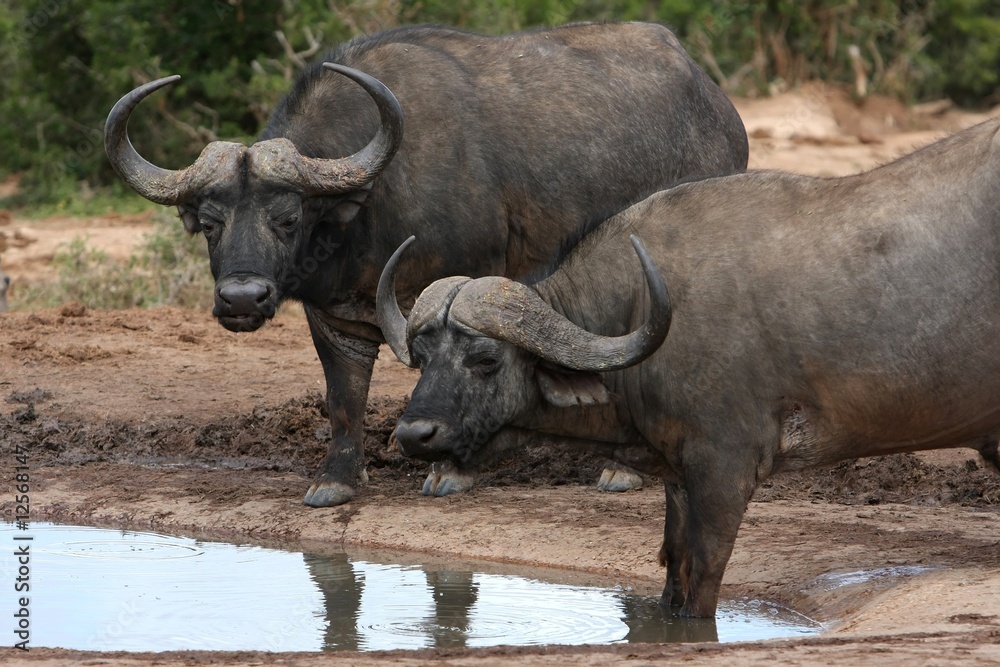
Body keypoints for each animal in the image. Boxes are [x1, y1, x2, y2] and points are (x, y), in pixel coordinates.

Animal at [105, 22, 749, 507]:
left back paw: (624, 470)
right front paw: (336, 479)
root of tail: (718, 103)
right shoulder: (331, 313)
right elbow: (343, 398)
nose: (241, 298)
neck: (369, 208)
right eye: (210, 222)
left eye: (287, 217)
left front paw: (450, 470)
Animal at [378, 117, 1000, 617]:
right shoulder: (678, 477)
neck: (639, 312)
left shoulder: (722, 472)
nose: (413, 434)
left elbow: (701, 582)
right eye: (423, 358)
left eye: (485, 360)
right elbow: (673, 575)